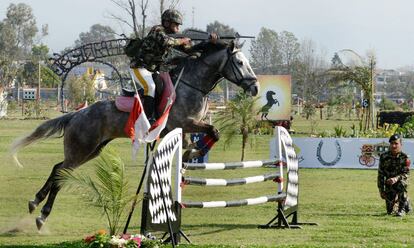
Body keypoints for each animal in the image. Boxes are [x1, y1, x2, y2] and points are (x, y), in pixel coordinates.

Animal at [10, 39, 258, 230]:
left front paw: (189, 160)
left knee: (57, 168)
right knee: (61, 173)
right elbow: (213, 132)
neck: (192, 85)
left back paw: (35, 201)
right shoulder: (185, 123)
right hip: (81, 149)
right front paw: (193, 156)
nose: (255, 88)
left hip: (91, 150)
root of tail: (76, 114)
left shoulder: (186, 128)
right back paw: (42, 214)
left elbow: (199, 141)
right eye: (239, 63)